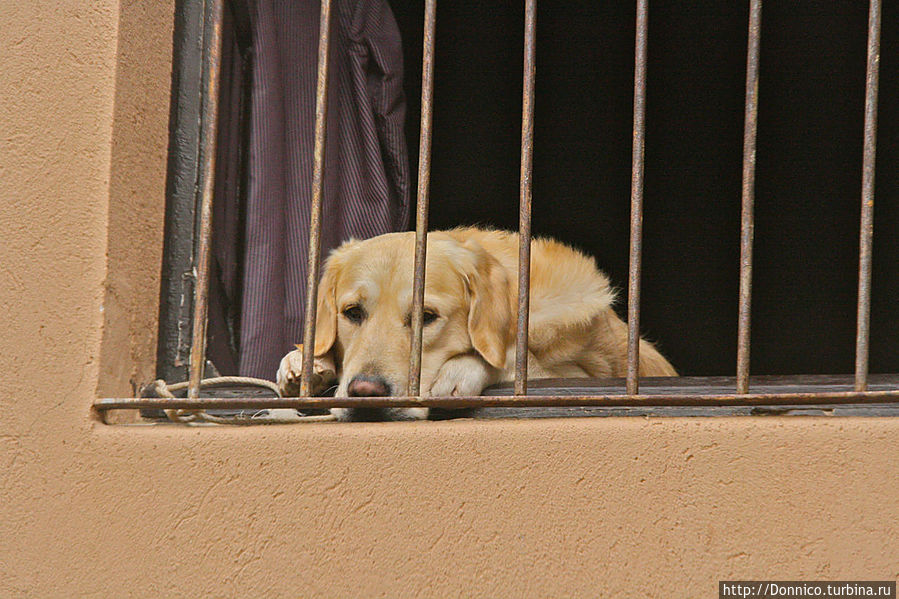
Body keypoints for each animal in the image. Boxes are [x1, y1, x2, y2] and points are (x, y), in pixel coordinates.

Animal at [274, 227, 676, 420]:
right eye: (353, 312)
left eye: (427, 317)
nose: (365, 392)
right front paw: (307, 363)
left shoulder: (583, 377)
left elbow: (518, 358)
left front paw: (459, 371)